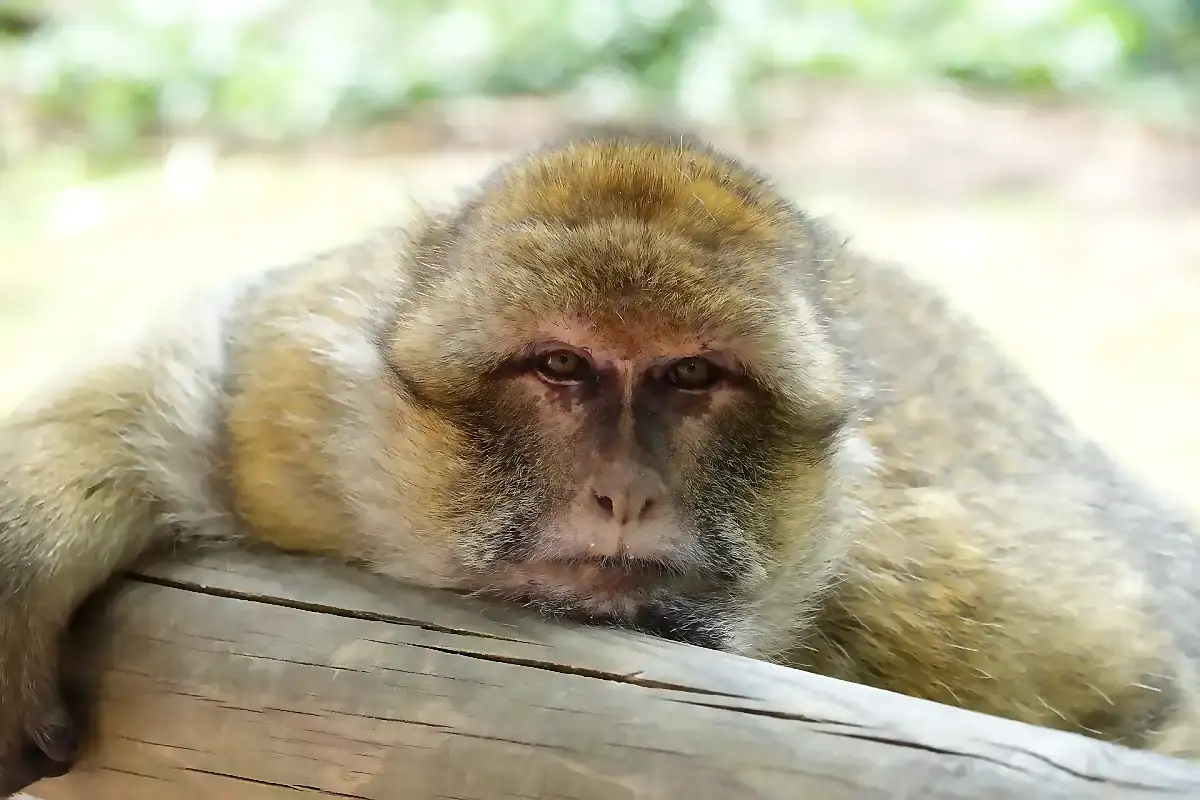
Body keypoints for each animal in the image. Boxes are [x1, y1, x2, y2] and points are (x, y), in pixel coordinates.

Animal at [1, 124, 1199, 795]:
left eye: (691, 376)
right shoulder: (294, 403)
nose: (624, 490)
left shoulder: (957, 608)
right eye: (561, 366)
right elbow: (206, 368)